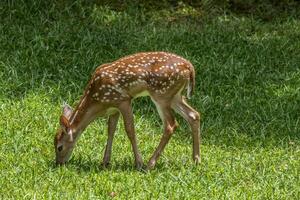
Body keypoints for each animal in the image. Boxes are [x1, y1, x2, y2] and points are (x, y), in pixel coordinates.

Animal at [55, 52, 200, 170]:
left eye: (59, 147)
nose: (59, 163)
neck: (96, 100)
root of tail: (189, 67)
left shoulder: (123, 100)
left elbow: (130, 130)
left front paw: (138, 163)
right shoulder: (114, 108)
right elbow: (111, 130)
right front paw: (105, 162)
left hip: (162, 95)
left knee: (171, 125)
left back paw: (149, 164)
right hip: (174, 96)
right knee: (194, 115)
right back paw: (196, 160)